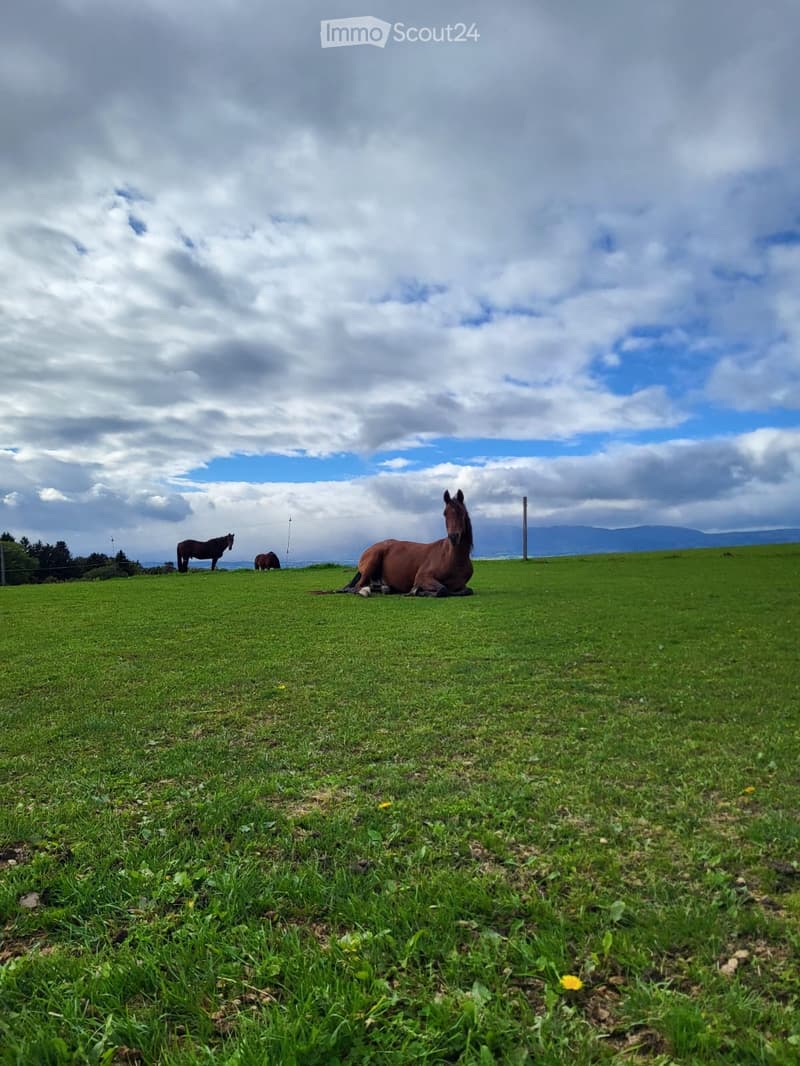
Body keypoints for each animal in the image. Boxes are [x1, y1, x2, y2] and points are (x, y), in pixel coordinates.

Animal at [338, 489, 474, 597]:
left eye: (462, 512)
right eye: (445, 513)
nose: (453, 537)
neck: (452, 558)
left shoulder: (461, 585)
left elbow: (467, 590)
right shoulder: (422, 577)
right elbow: (443, 589)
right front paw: (418, 591)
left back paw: (385, 588)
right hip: (372, 561)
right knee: (357, 587)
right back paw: (366, 591)